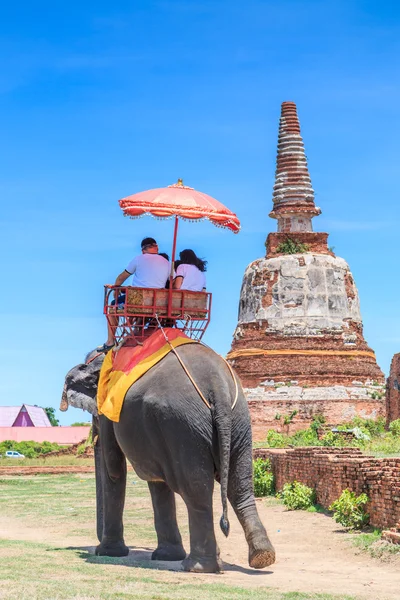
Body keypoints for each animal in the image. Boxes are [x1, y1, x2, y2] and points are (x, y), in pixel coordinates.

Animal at [61, 342, 276, 572]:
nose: (97, 545)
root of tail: (217, 385)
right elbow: (156, 480)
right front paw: (166, 556)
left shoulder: (111, 408)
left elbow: (114, 468)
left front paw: (108, 553)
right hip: (238, 420)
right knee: (239, 486)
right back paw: (262, 557)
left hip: (182, 424)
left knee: (196, 490)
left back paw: (197, 566)